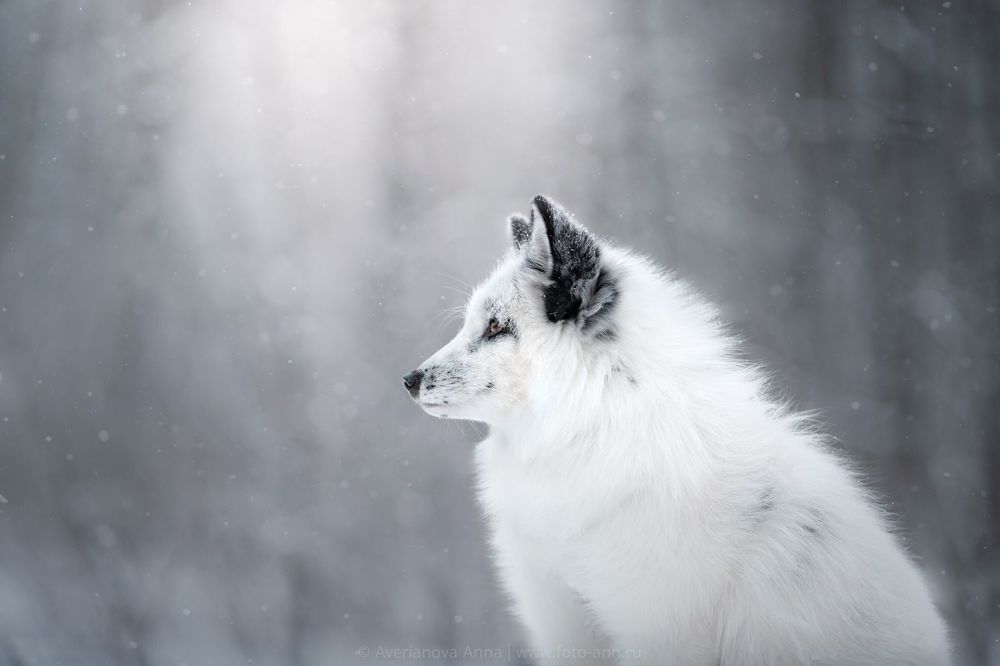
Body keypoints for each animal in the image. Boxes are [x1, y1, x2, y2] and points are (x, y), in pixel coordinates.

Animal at [403, 195, 949, 665]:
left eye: (497, 327)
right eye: (473, 323)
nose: (409, 380)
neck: (595, 426)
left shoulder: (661, 629)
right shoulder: (568, 625)